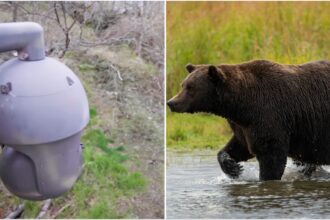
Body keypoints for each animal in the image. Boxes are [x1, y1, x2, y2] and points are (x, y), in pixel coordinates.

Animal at [168, 59, 330, 180]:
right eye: (183, 85)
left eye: (190, 87)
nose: (171, 102)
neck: (241, 105)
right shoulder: (243, 126)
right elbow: (239, 147)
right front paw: (233, 168)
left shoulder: (269, 115)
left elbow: (271, 157)